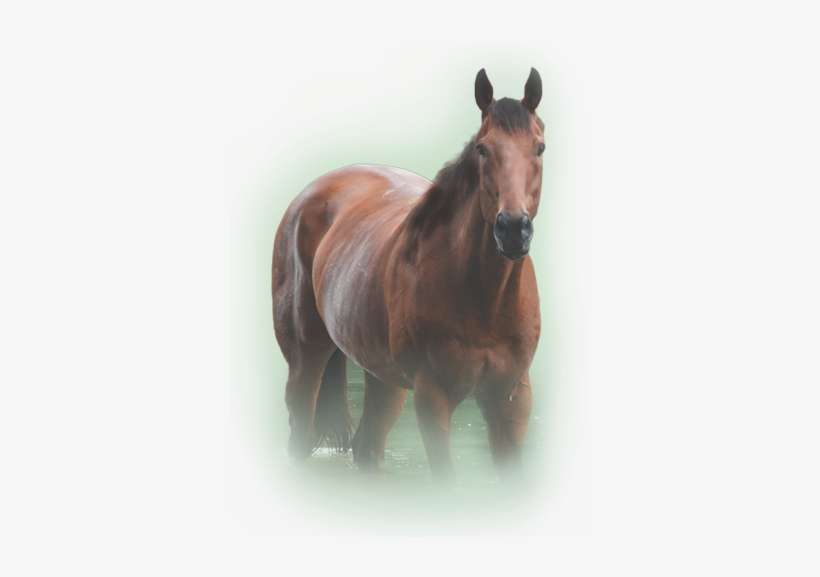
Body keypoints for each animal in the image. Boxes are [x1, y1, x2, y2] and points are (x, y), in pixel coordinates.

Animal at [272, 68, 544, 479]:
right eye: (483, 149)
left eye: (539, 147)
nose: (513, 229)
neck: (482, 300)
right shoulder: (434, 397)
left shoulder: (511, 400)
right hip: (306, 361)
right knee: (299, 435)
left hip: (384, 380)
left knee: (367, 447)